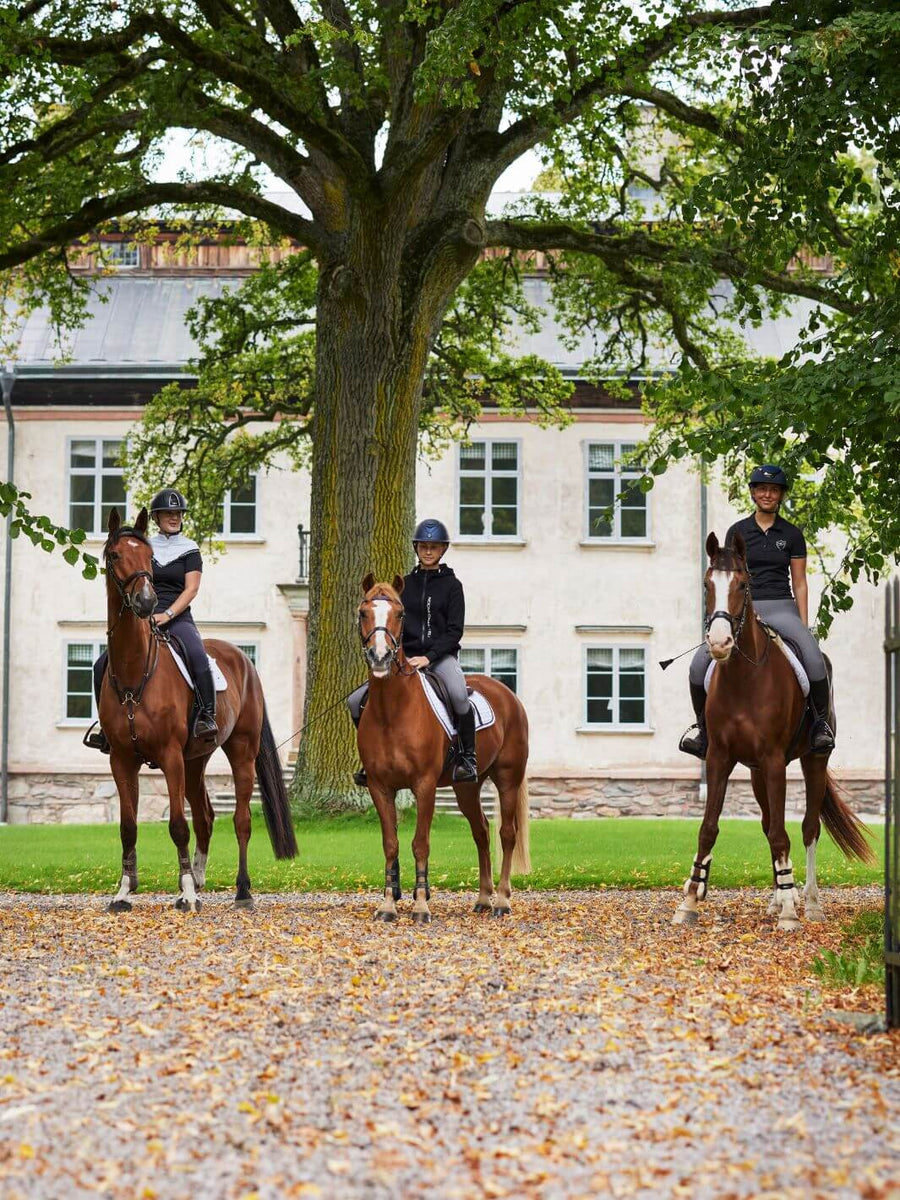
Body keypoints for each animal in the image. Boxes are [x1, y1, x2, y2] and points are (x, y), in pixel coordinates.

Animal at [99, 506, 297, 907]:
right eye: (115, 555)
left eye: (149, 558)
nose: (146, 602)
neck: (134, 673)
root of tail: (243, 660)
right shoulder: (122, 759)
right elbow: (128, 827)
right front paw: (124, 892)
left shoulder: (170, 755)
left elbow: (178, 825)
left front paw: (187, 895)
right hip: (195, 760)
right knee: (205, 816)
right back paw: (200, 877)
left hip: (239, 751)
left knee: (240, 820)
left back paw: (241, 890)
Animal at [357, 576, 532, 921]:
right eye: (363, 613)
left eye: (400, 614)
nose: (380, 657)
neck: (391, 710)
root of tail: (508, 695)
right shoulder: (379, 787)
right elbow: (391, 844)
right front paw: (388, 905)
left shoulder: (424, 785)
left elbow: (420, 843)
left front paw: (421, 906)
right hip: (467, 786)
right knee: (481, 832)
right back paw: (483, 898)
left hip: (508, 778)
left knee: (506, 834)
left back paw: (502, 900)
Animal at [676, 530, 873, 931]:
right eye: (707, 584)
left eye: (743, 584)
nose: (719, 643)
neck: (744, 678)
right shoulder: (720, 758)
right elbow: (710, 828)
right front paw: (690, 899)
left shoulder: (773, 760)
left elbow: (785, 834)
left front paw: (789, 913)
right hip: (755, 773)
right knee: (769, 824)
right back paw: (779, 896)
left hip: (812, 761)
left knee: (809, 828)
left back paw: (809, 903)